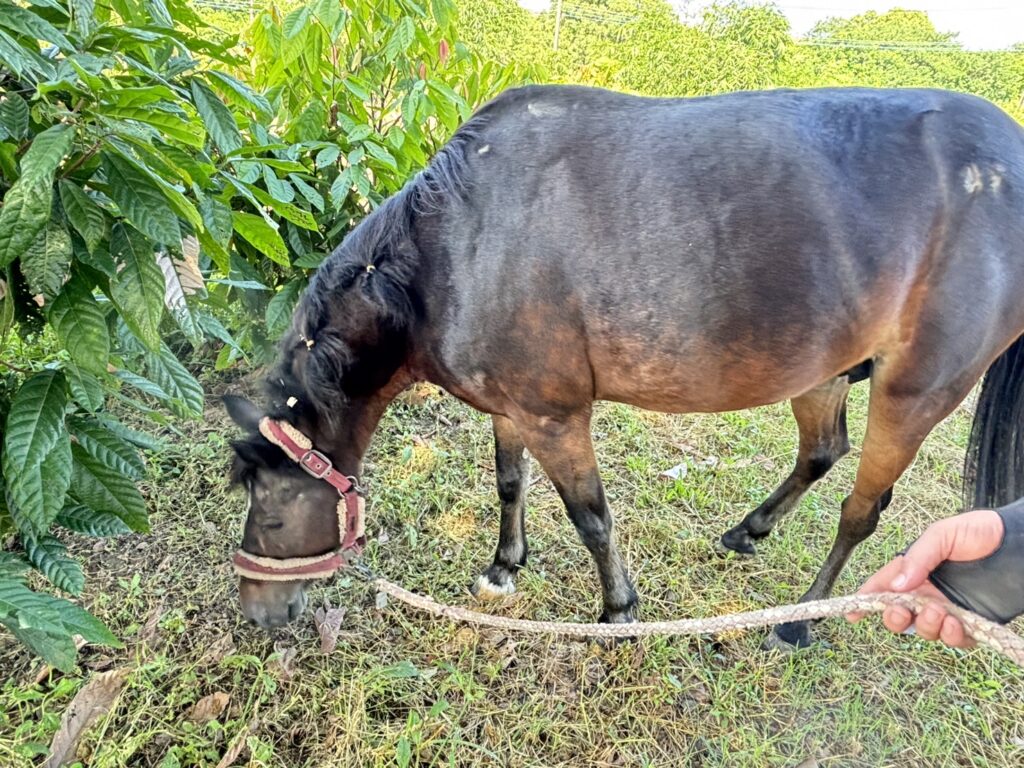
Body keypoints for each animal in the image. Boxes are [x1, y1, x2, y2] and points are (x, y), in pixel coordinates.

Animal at [222, 85, 1024, 651]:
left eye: (273, 507)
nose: (259, 613)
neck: (458, 245)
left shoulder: (554, 415)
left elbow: (591, 517)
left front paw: (617, 610)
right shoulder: (513, 407)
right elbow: (509, 482)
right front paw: (504, 566)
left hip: (913, 393)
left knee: (862, 511)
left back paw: (800, 619)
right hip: (825, 369)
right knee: (822, 452)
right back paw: (750, 531)